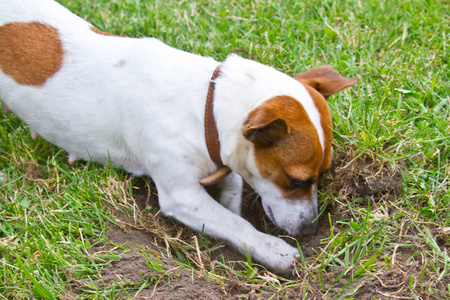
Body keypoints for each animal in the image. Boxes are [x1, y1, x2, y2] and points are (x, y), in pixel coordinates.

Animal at [0, 0, 358, 274]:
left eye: (324, 174)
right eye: (297, 181)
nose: (311, 229)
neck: (203, 106)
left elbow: (232, 201)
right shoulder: (182, 194)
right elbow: (234, 223)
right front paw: (273, 249)